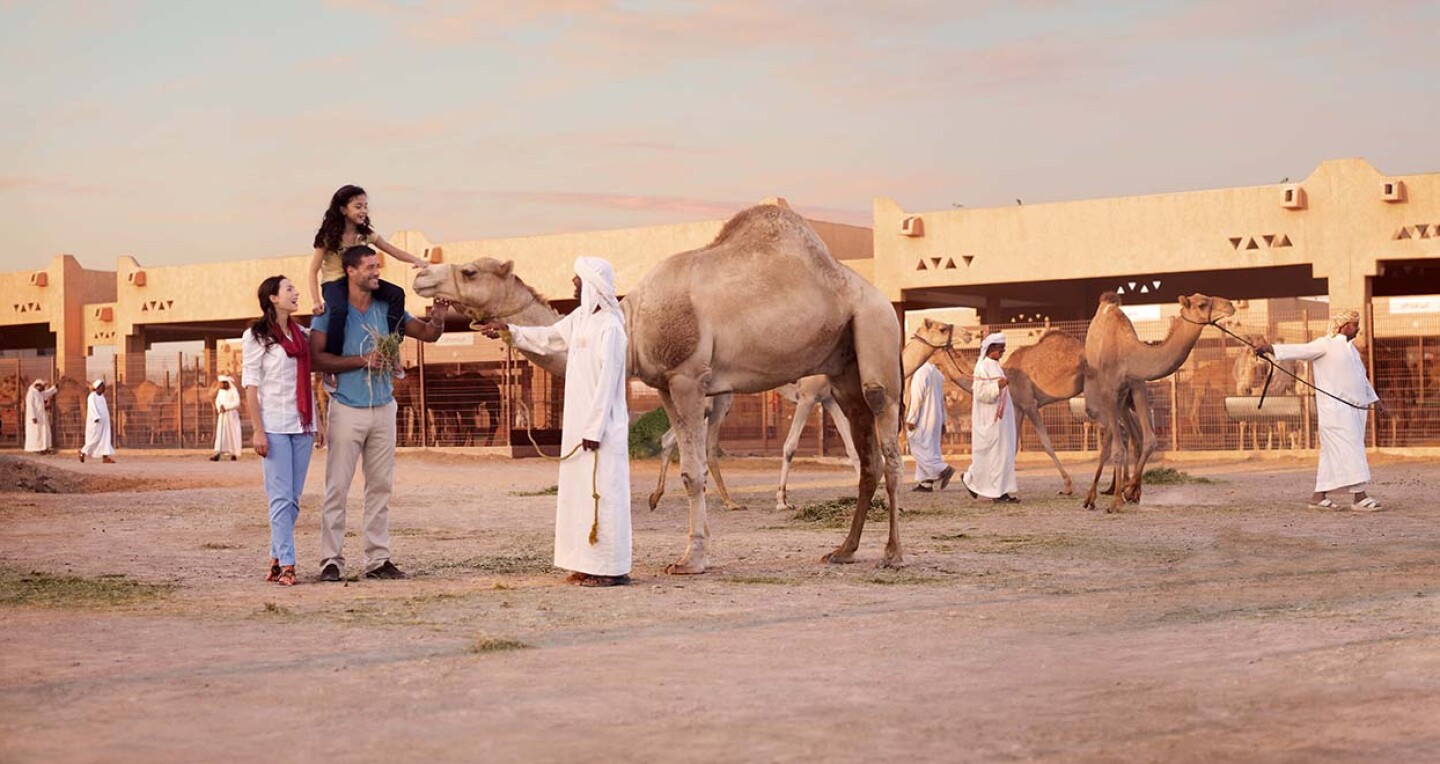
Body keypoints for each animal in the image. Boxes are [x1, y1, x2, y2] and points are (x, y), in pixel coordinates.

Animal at [415, 204, 907, 572]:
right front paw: (696, 547)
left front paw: (692, 559)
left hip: (876, 331)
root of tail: (875, 293)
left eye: (470, 271)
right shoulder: (666, 385)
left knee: (887, 441)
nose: (421, 276)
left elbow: (694, 472)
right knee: (866, 456)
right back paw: (844, 550)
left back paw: (893, 554)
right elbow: (688, 463)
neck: (632, 322)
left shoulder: (687, 377)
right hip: (842, 371)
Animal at [1082, 292, 1236, 512]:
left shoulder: (1137, 387)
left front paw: (1131, 490)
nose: (1230, 305)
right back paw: (1093, 497)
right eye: (1201, 304)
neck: (1128, 355)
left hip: (1123, 401)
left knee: (1128, 435)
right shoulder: (1110, 393)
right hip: (1104, 399)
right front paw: (1117, 501)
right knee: (1111, 441)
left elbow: (1150, 440)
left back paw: (1119, 489)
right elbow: (1117, 449)